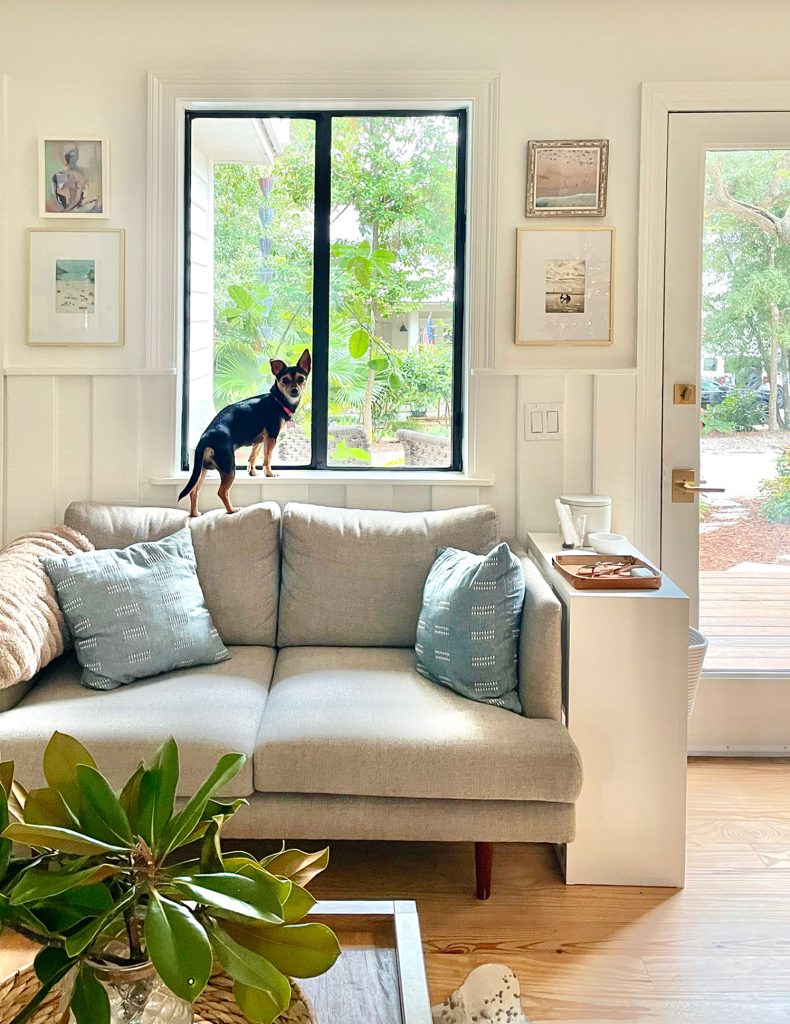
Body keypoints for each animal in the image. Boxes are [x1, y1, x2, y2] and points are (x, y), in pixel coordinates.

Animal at [179, 348, 311, 516]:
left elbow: (253, 456)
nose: (295, 390)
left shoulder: (261, 440)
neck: (277, 400)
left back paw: (194, 514)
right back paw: (232, 510)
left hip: (201, 470)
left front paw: (252, 471)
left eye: (301, 379)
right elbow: (267, 458)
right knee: (221, 492)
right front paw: (269, 473)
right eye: (285, 380)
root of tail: (205, 438)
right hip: (229, 468)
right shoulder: (272, 436)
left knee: (194, 491)